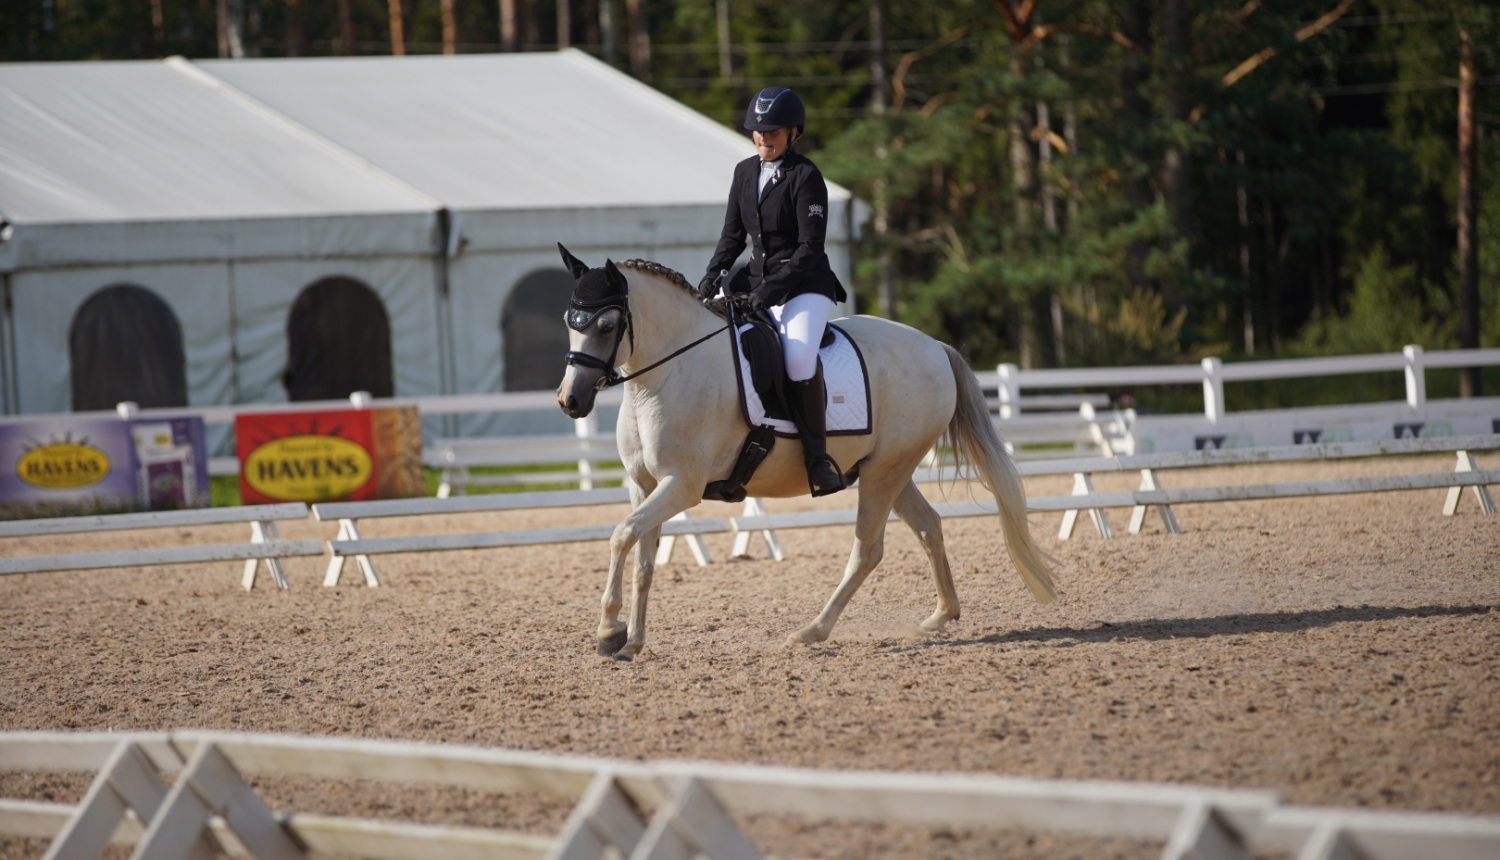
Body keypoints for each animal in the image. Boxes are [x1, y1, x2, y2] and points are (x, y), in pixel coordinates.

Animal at [555, 247, 1056, 657]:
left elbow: (621, 535)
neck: (664, 376)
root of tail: (935, 346)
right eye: (568, 322)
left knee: (867, 550)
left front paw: (608, 632)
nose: (570, 401)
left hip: (884, 473)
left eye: (606, 324)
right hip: (889, 469)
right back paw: (940, 616)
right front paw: (631, 641)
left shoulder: (683, 486)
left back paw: (813, 631)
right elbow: (641, 557)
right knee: (928, 527)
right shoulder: (644, 485)